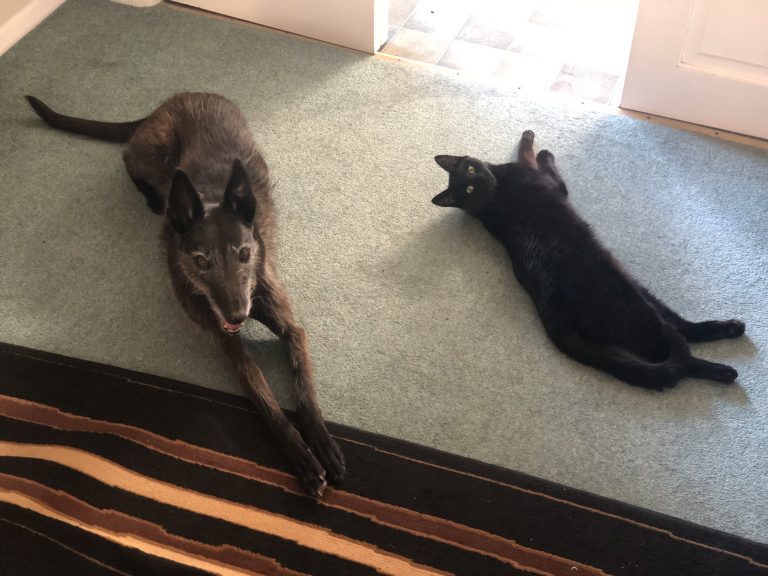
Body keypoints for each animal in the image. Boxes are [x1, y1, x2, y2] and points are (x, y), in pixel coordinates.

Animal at [27, 93, 344, 496]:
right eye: (200, 261)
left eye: (245, 254)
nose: (238, 315)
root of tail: (178, 98)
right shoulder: (229, 347)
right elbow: (267, 402)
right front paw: (302, 457)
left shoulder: (291, 327)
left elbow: (304, 386)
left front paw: (321, 441)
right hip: (155, 152)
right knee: (127, 159)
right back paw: (152, 197)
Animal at [436, 130, 748, 392]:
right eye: (468, 189)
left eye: (471, 171)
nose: (479, 179)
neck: (492, 197)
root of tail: (552, 310)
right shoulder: (554, 184)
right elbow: (533, 159)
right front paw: (539, 148)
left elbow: (526, 155)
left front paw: (531, 142)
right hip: (635, 308)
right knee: (675, 352)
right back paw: (726, 367)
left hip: (640, 291)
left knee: (681, 328)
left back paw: (730, 329)